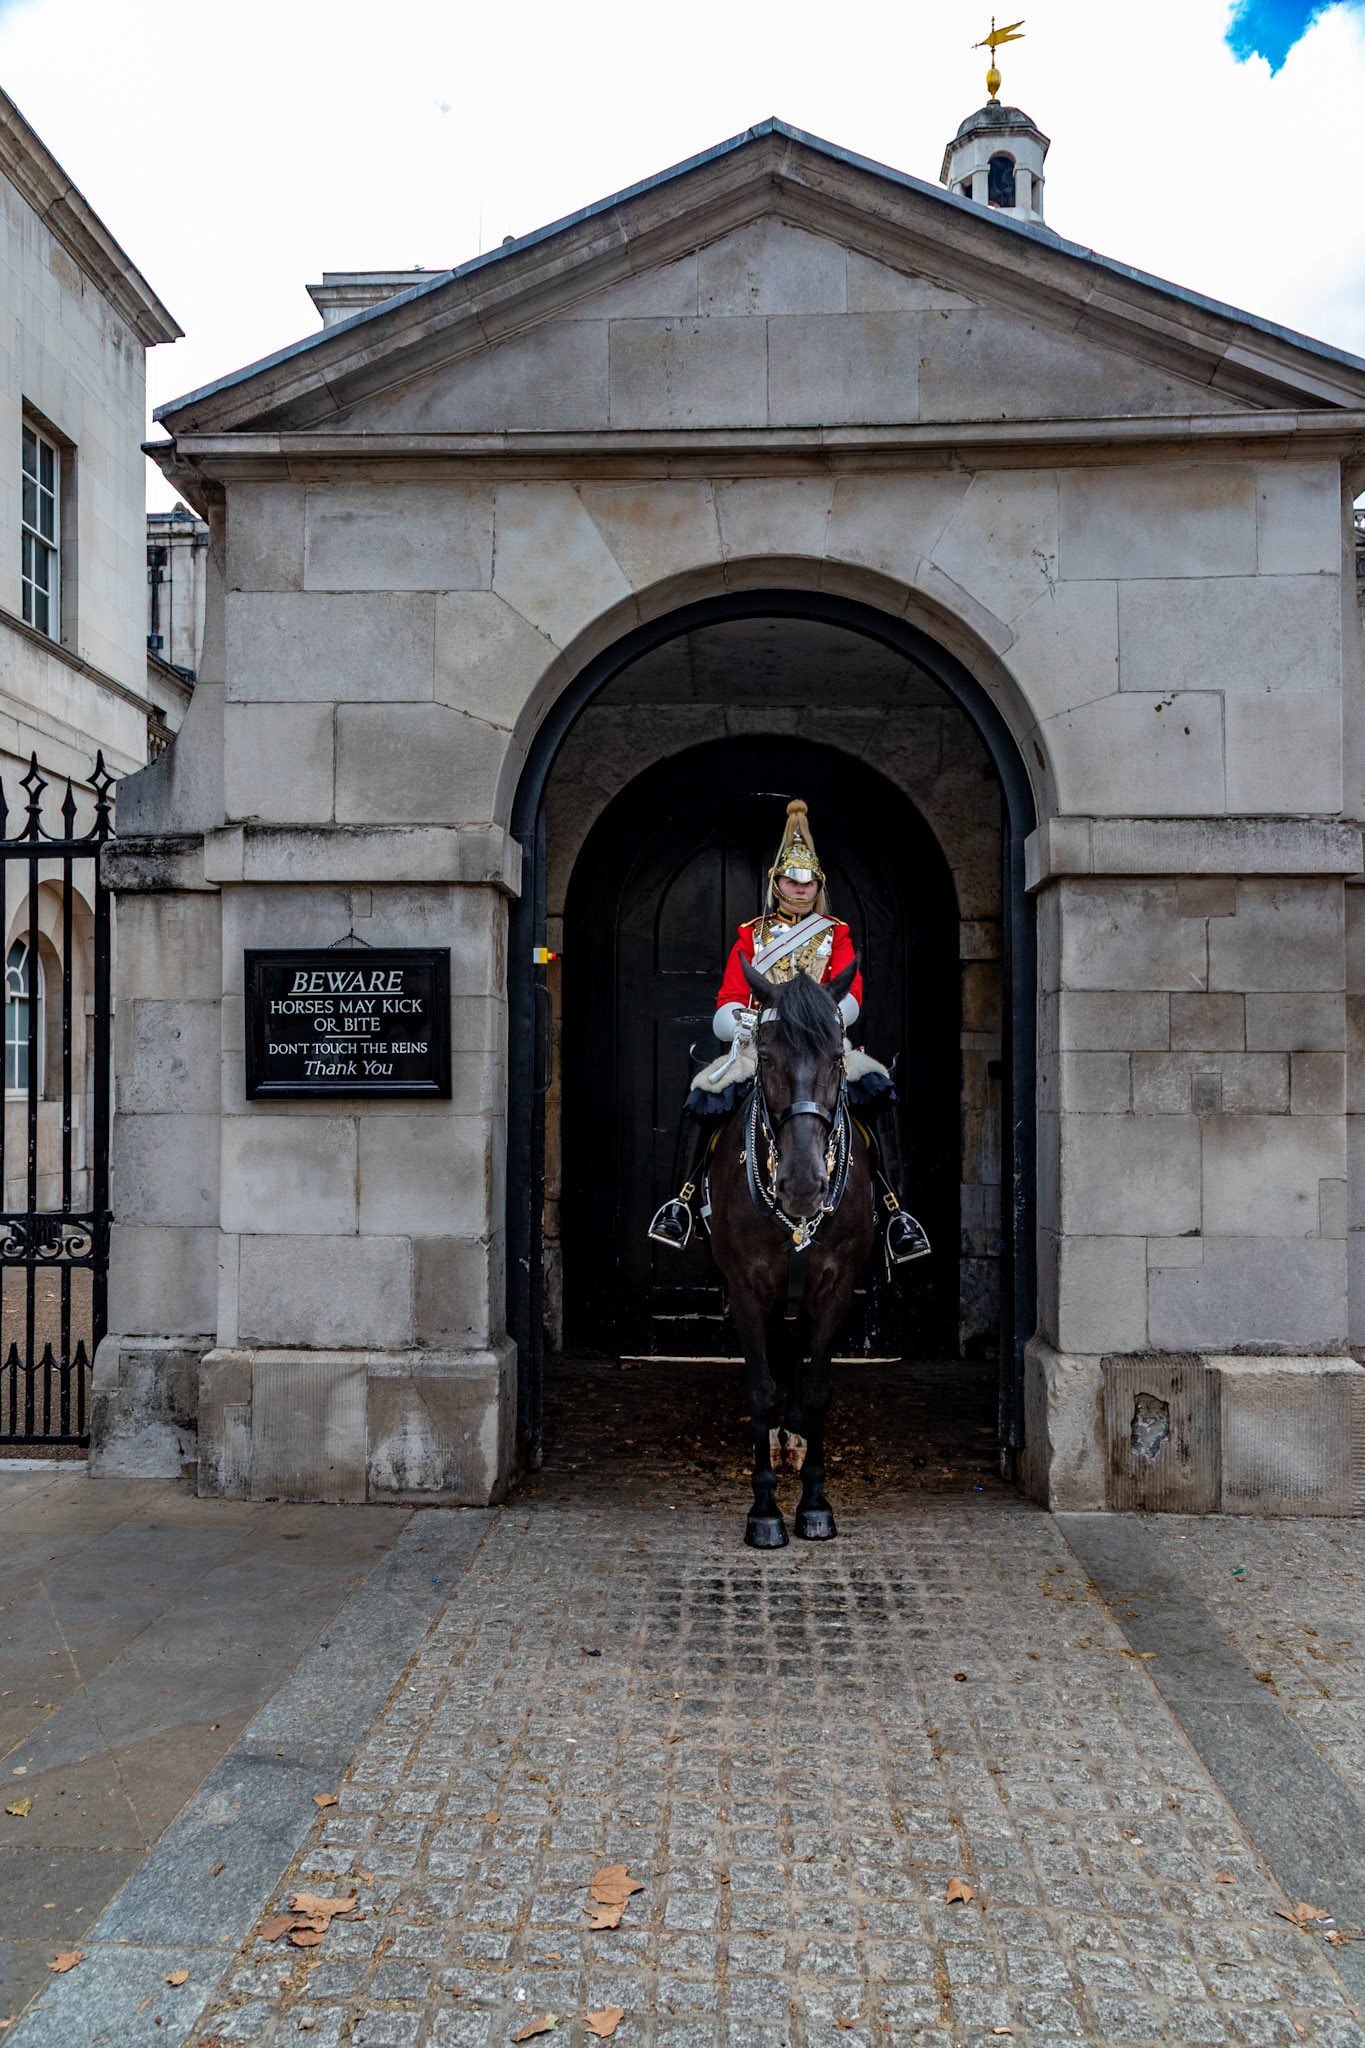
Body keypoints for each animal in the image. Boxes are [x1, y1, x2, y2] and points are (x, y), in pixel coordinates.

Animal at [705, 952, 876, 1548]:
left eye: (837, 1058)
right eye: (766, 1056)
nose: (802, 1186)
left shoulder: (836, 1288)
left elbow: (819, 1388)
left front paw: (815, 1503)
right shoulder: (746, 1290)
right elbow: (760, 1390)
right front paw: (764, 1511)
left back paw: (796, 1437)